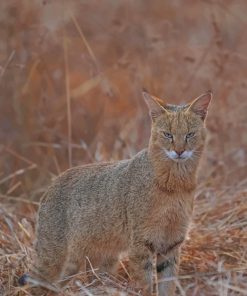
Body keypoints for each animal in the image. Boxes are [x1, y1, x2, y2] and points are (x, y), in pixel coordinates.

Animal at [19, 89, 212, 294]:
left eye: (190, 134)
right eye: (167, 134)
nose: (179, 151)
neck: (174, 186)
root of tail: (52, 184)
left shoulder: (171, 244)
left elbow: (167, 287)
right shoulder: (141, 244)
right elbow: (145, 286)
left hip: (101, 262)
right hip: (52, 260)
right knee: (32, 285)